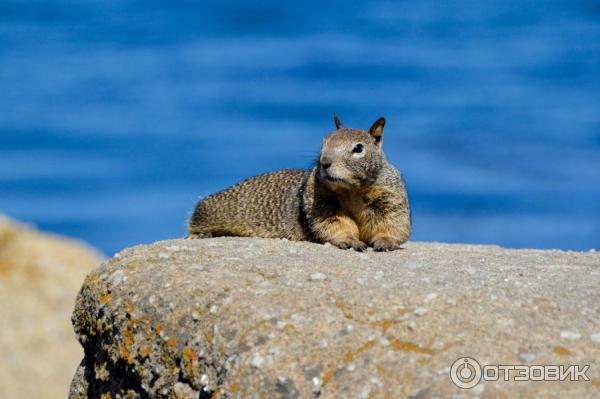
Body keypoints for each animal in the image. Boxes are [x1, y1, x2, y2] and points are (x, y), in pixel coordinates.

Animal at [189, 115, 412, 252]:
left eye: (358, 148)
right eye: (324, 142)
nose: (324, 162)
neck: (351, 190)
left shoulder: (390, 195)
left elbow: (395, 223)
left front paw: (385, 241)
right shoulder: (321, 201)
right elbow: (334, 224)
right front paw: (349, 240)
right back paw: (201, 234)